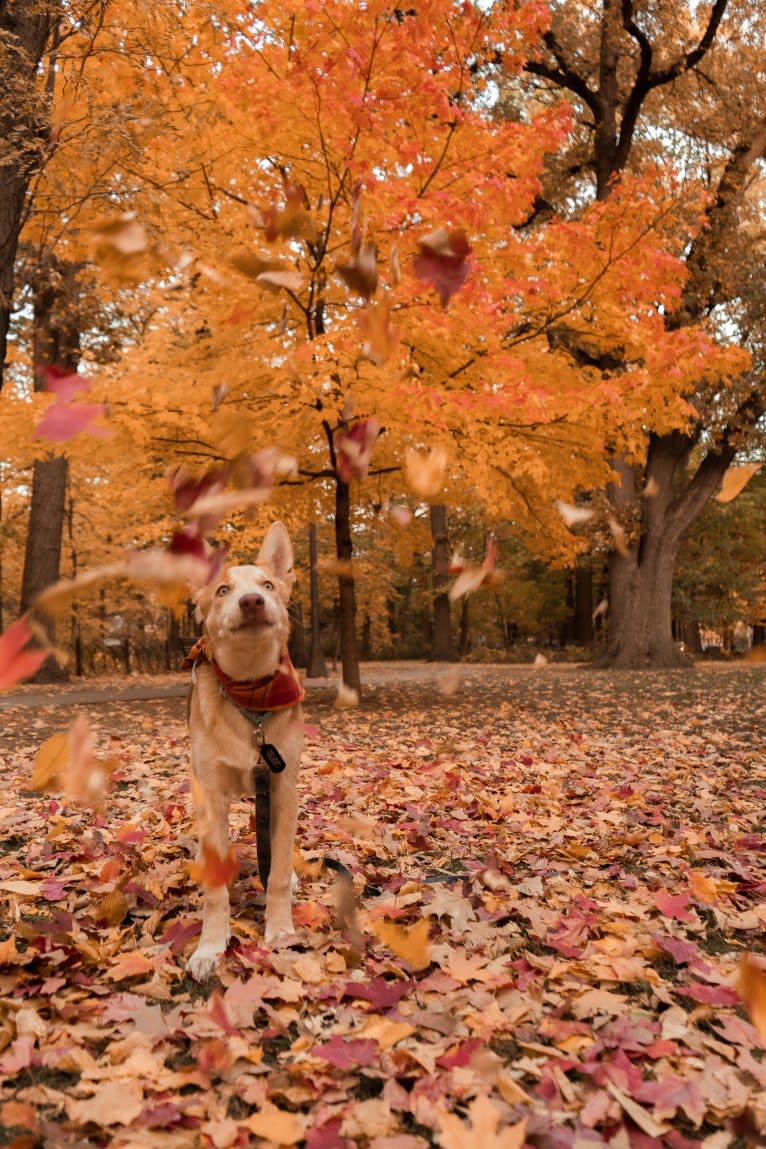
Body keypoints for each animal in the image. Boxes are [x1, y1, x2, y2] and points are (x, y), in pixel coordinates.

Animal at [183, 521, 303, 978]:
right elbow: (216, 891)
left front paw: (281, 931)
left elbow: (279, 871)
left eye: (267, 584)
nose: (252, 601)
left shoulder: (283, 790)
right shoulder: (212, 795)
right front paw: (211, 947)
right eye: (222, 590)